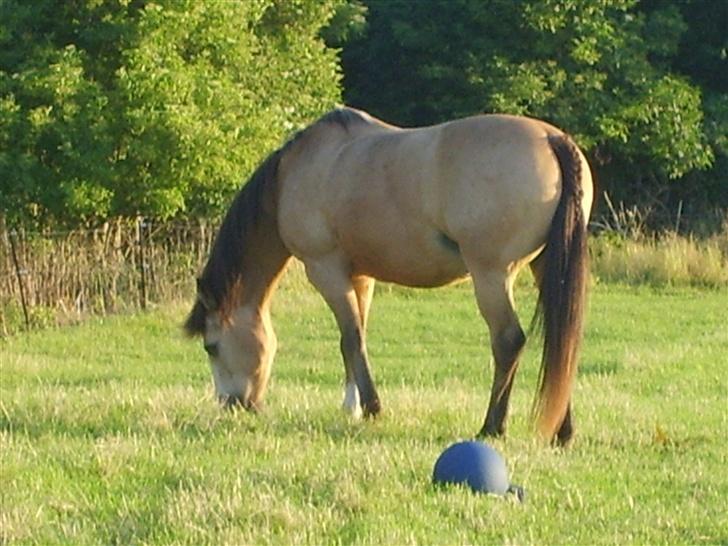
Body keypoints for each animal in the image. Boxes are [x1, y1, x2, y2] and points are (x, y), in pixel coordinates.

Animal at [183, 105, 592, 442]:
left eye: (211, 346)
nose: (233, 405)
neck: (299, 170)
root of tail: (552, 139)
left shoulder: (325, 269)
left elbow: (351, 339)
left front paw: (373, 408)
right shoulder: (361, 277)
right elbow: (353, 338)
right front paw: (352, 406)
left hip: (491, 275)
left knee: (508, 340)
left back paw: (492, 427)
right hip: (544, 268)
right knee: (560, 339)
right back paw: (561, 431)